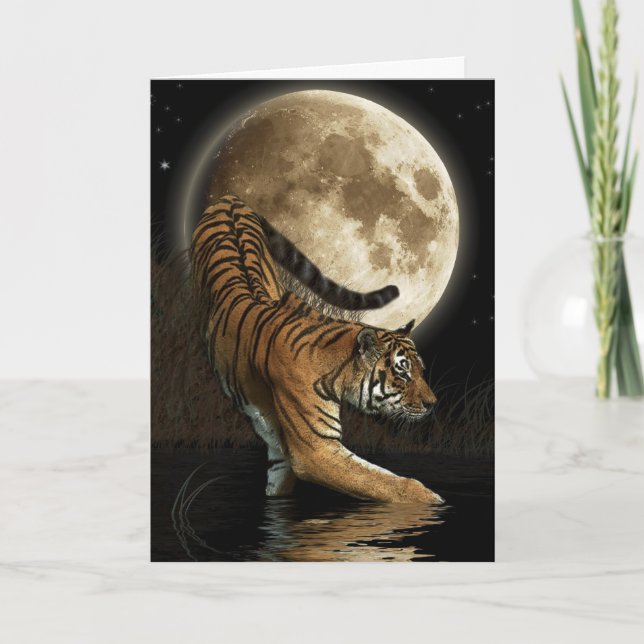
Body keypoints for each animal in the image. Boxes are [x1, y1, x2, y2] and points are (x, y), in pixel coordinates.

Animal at [190, 195, 443, 504]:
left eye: (420, 370)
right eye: (403, 373)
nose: (433, 404)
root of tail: (230, 199)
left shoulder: (283, 453)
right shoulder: (316, 451)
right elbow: (382, 481)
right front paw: (432, 500)